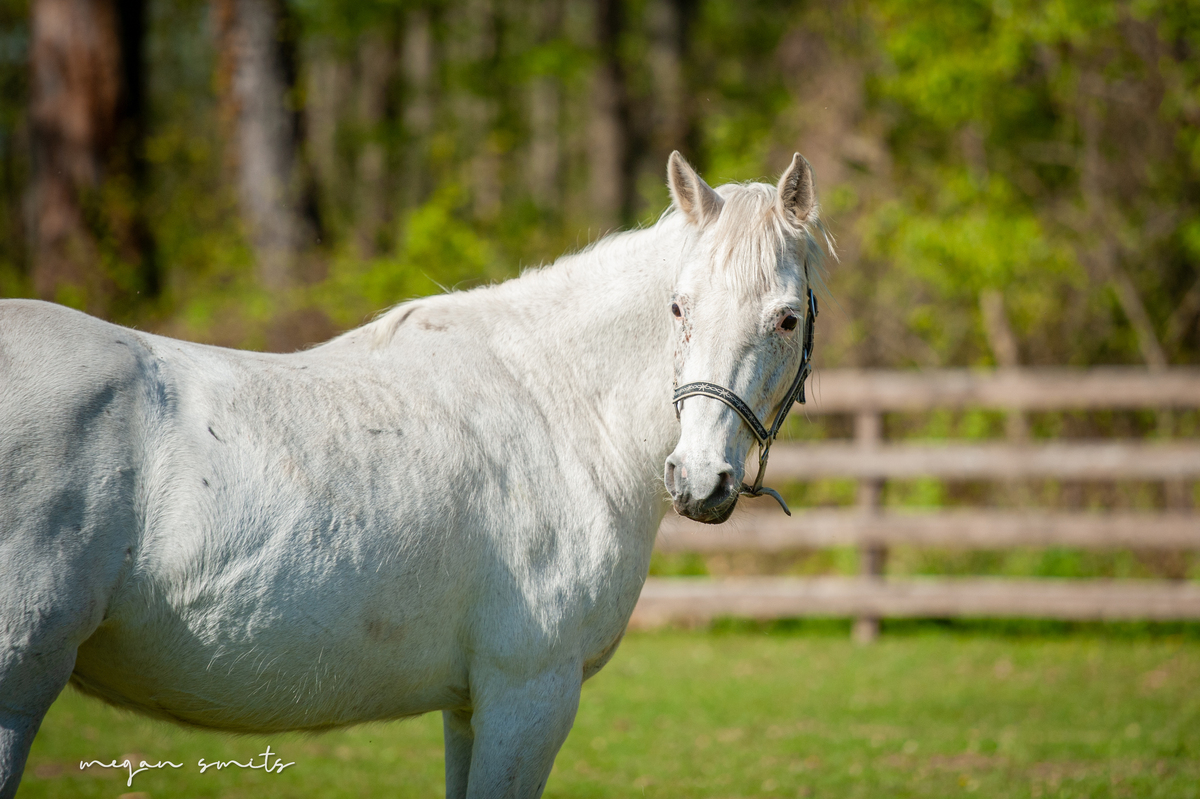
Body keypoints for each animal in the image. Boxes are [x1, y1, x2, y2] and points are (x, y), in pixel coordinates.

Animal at [0, 151, 829, 798]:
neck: (558, 405)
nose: (698, 479)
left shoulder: (470, 705)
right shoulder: (528, 694)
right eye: (678, 307)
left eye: (787, 318)